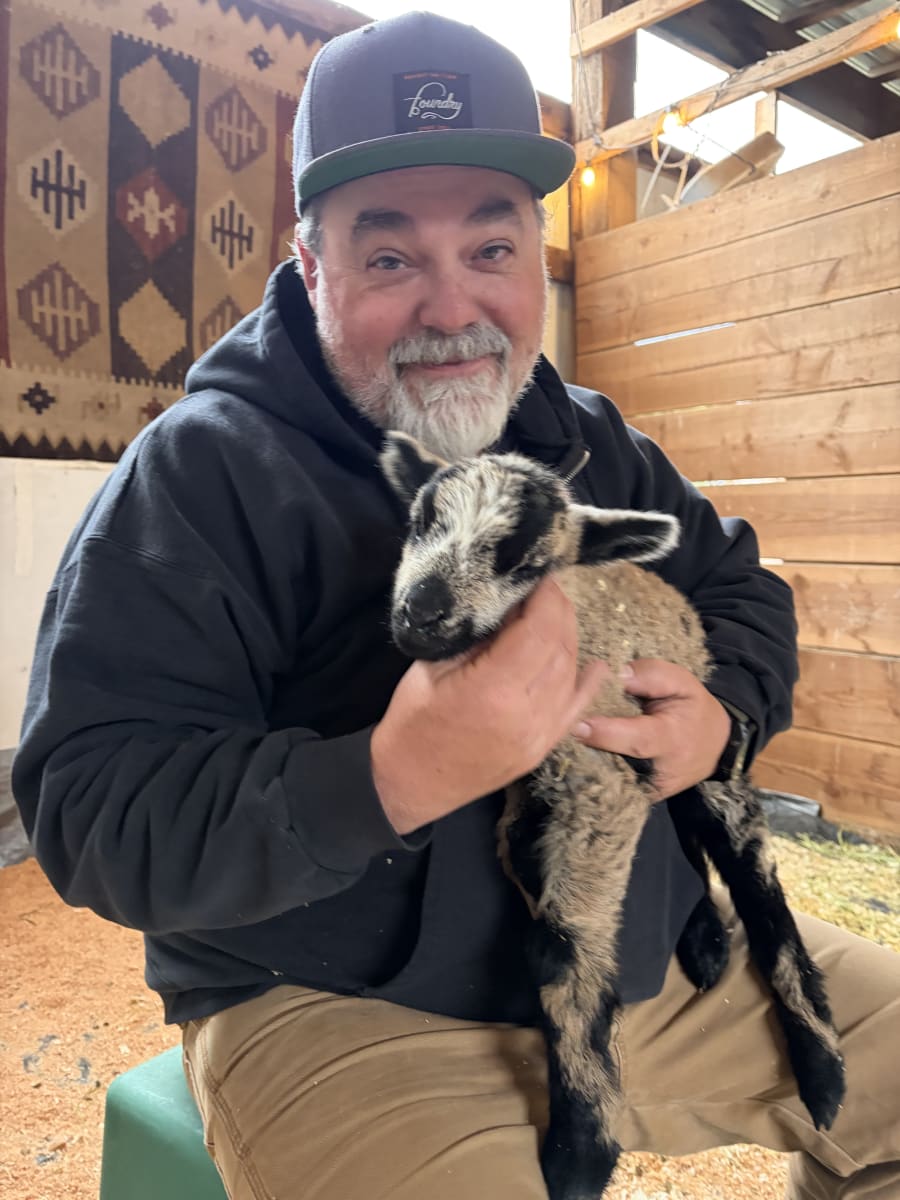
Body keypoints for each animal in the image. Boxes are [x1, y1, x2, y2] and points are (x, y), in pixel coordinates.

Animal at [380, 431, 846, 1200]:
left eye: (527, 562)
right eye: (421, 521)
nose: (421, 611)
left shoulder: (593, 782)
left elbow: (563, 946)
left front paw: (581, 1149)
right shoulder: (538, 796)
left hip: (704, 760)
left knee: (755, 878)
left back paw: (823, 1068)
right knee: (682, 829)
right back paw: (706, 942)